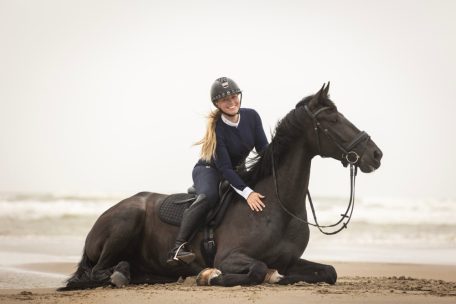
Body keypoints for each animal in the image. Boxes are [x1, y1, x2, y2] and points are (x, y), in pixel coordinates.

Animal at [58, 82, 382, 290]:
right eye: (333, 119)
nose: (376, 154)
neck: (278, 206)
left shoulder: (290, 260)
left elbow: (329, 271)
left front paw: (277, 276)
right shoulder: (231, 257)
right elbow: (257, 269)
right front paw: (209, 276)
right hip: (126, 222)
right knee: (99, 271)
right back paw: (122, 274)